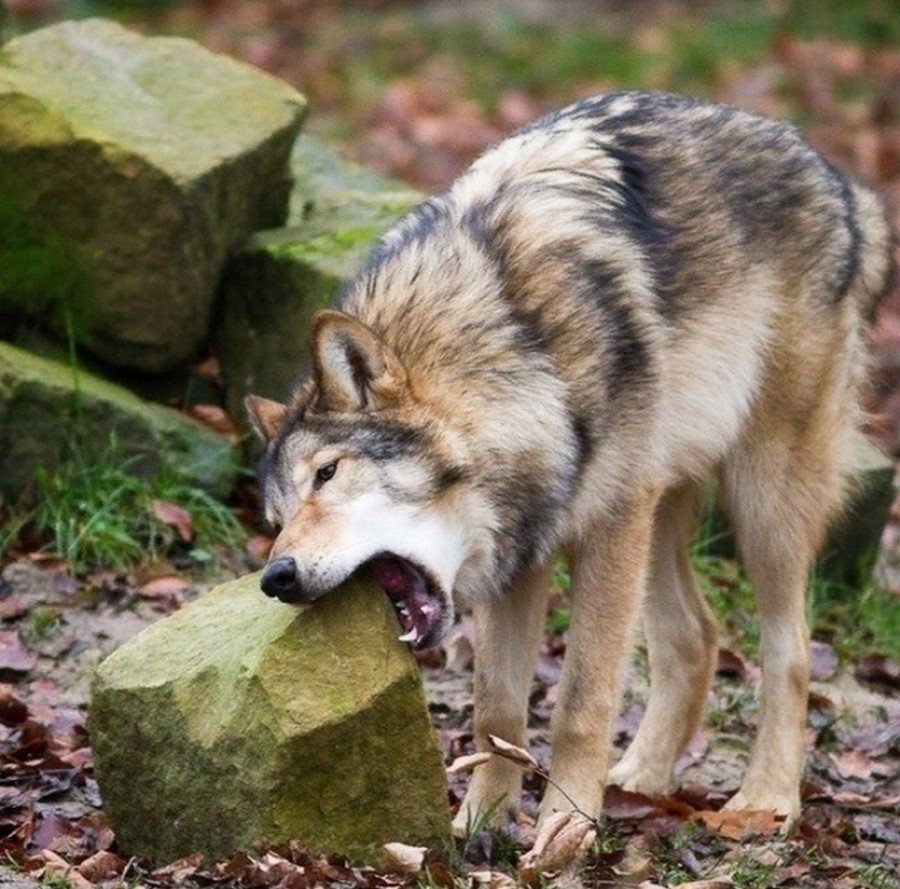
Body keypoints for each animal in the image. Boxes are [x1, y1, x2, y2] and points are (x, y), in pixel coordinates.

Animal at [246, 91, 892, 838]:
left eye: (327, 474)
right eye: (275, 517)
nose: (275, 577)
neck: (518, 353)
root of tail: (837, 182)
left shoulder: (607, 529)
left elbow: (582, 699)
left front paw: (563, 829)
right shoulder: (523, 557)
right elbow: (497, 707)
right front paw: (479, 825)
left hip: (761, 501)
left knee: (788, 650)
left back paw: (767, 798)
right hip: (661, 510)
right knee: (694, 637)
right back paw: (640, 780)